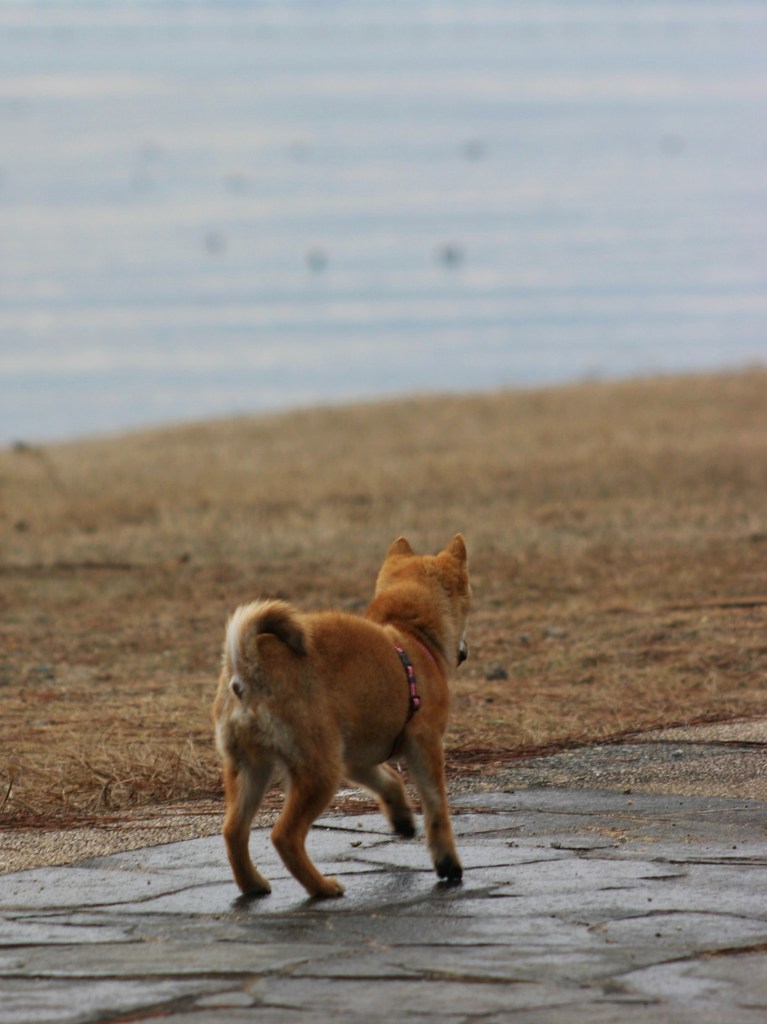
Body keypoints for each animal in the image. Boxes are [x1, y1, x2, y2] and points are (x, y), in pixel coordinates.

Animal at [211, 536, 469, 897]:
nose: (464, 652)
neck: (411, 634)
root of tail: (248, 667)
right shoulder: (426, 745)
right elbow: (437, 808)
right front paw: (448, 864)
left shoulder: (355, 757)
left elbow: (387, 780)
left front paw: (402, 816)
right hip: (318, 772)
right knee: (284, 836)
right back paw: (322, 887)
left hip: (251, 769)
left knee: (234, 831)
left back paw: (254, 885)